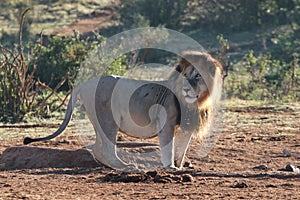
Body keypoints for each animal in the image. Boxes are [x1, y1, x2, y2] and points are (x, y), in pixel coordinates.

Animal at [22, 51, 223, 170]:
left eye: (197, 76)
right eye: (185, 75)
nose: (187, 89)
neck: (197, 102)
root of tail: (84, 84)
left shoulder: (187, 125)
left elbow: (182, 149)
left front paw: (179, 167)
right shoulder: (166, 121)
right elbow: (169, 147)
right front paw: (170, 168)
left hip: (100, 122)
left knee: (98, 148)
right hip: (108, 119)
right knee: (107, 150)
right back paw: (125, 167)